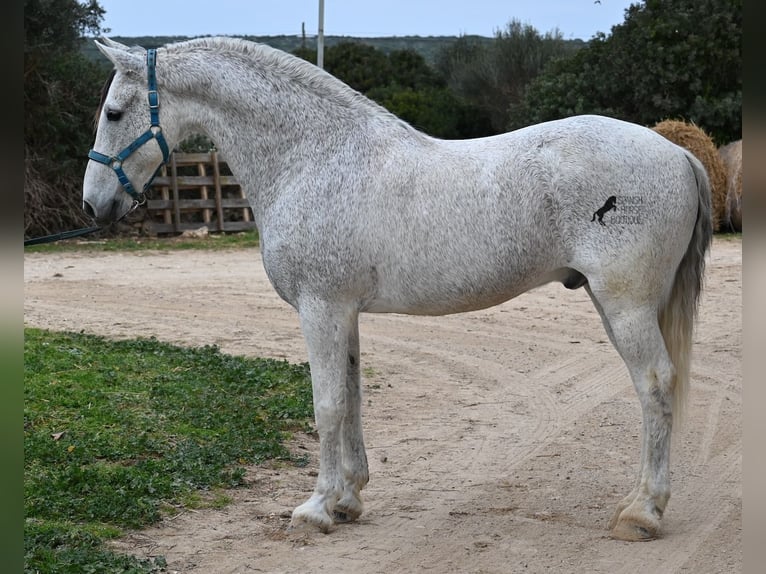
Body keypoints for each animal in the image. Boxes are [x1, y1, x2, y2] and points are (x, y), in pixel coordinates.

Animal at [82, 37, 712, 544]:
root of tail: (678, 150)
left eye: (114, 111)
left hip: (625, 305)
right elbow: (353, 396)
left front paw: (315, 509)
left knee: (655, 385)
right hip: (614, 303)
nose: (94, 205)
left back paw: (643, 514)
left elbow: (327, 405)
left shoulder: (320, 308)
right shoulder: (344, 313)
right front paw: (348, 499)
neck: (315, 158)